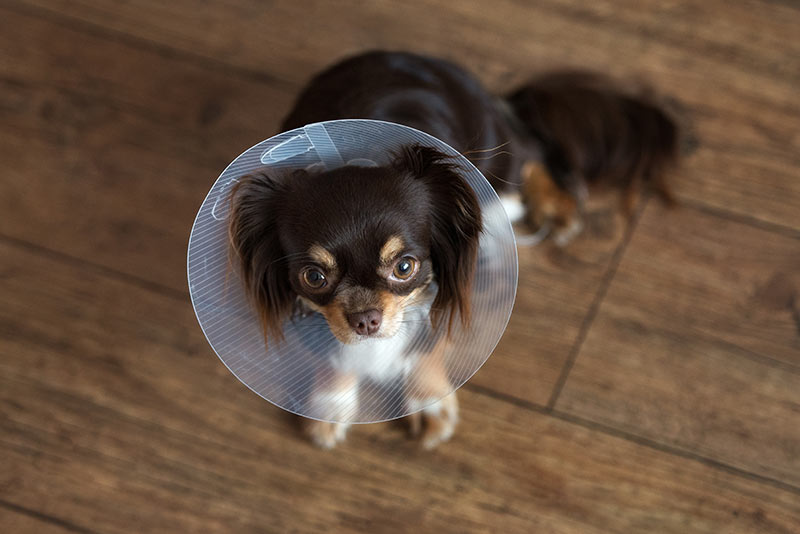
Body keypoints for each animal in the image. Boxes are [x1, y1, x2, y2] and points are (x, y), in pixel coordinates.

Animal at [228, 52, 684, 450]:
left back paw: (555, 206)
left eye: (405, 266)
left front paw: (427, 400)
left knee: (530, 154)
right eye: (314, 277)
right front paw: (330, 404)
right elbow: (334, 355)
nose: (365, 320)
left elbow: (429, 346)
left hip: (501, 168)